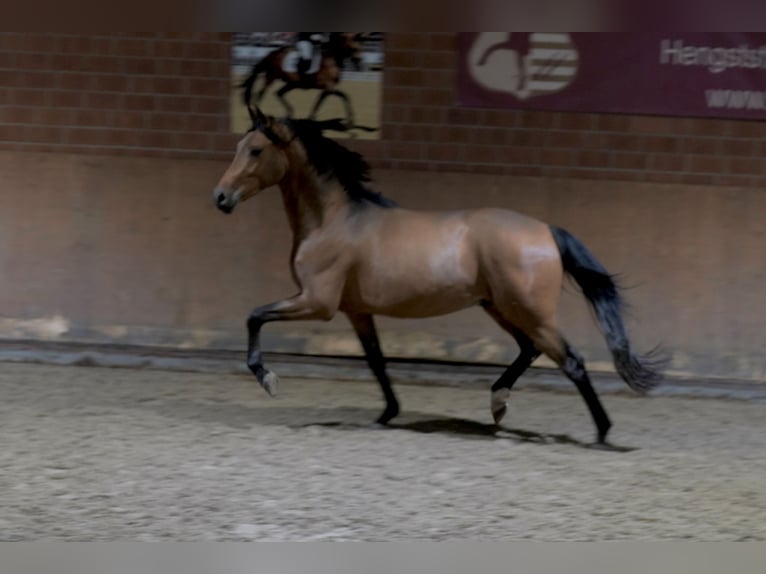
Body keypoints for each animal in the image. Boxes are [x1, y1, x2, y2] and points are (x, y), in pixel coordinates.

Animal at [212, 104, 664, 446]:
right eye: (239, 146)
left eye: (255, 150)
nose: (220, 198)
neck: (333, 219)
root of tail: (546, 230)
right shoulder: (355, 310)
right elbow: (376, 361)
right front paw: (386, 414)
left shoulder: (316, 302)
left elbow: (254, 316)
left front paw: (268, 378)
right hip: (500, 307)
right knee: (529, 350)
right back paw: (498, 403)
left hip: (527, 311)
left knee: (570, 360)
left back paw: (601, 432)